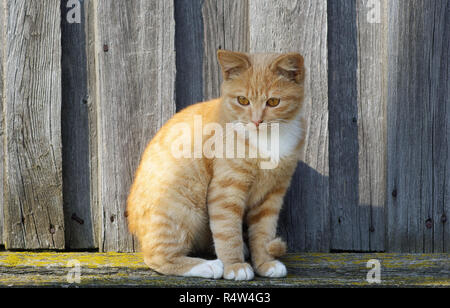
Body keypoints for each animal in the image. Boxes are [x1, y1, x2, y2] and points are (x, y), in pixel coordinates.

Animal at [126, 49, 306, 280]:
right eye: (243, 100)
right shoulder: (226, 189)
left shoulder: (272, 195)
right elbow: (227, 231)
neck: (267, 139)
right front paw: (235, 266)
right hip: (181, 207)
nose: (256, 121)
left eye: (274, 102)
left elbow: (263, 232)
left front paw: (265, 263)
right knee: (157, 257)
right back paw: (208, 266)